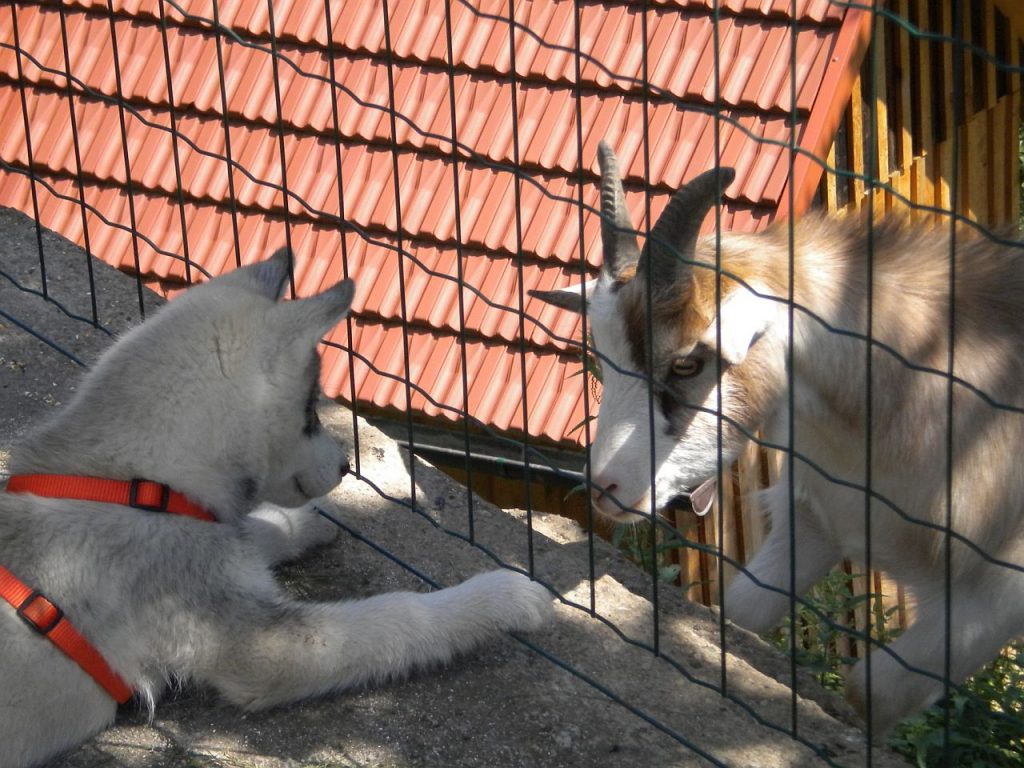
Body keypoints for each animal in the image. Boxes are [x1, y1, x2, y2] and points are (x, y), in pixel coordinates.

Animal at [0, 249, 552, 765]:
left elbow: (255, 532)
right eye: (310, 412)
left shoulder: (214, 545)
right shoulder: (261, 643)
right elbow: (401, 616)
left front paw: (304, 523)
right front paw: (498, 597)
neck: (136, 483)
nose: (346, 466)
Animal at [532, 144, 1024, 741]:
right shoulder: (816, 521)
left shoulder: (990, 601)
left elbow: (868, 691)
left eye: (688, 362)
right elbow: (737, 615)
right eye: (604, 356)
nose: (604, 486)